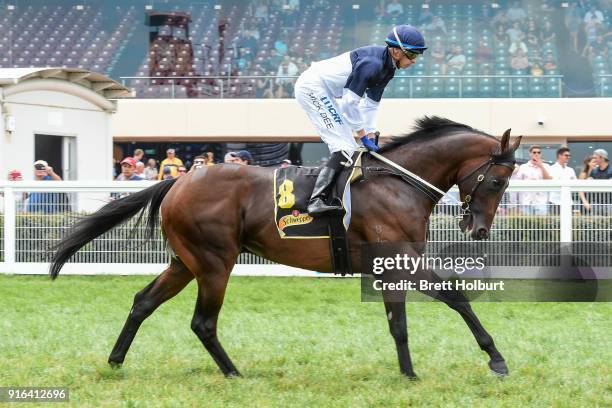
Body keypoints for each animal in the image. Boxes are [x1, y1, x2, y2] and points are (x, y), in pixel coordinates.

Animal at [51, 117, 520, 380]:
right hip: (214, 263)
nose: (477, 229)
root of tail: (179, 179)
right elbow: (455, 298)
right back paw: (235, 373)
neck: (399, 182)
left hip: (185, 261)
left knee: (143, 301)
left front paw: (408, 374)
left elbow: (399, 323)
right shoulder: (401, 259)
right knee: (203, 322)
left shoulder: (391, 265)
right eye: (498, 180)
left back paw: (115, 361)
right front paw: (496, 359)